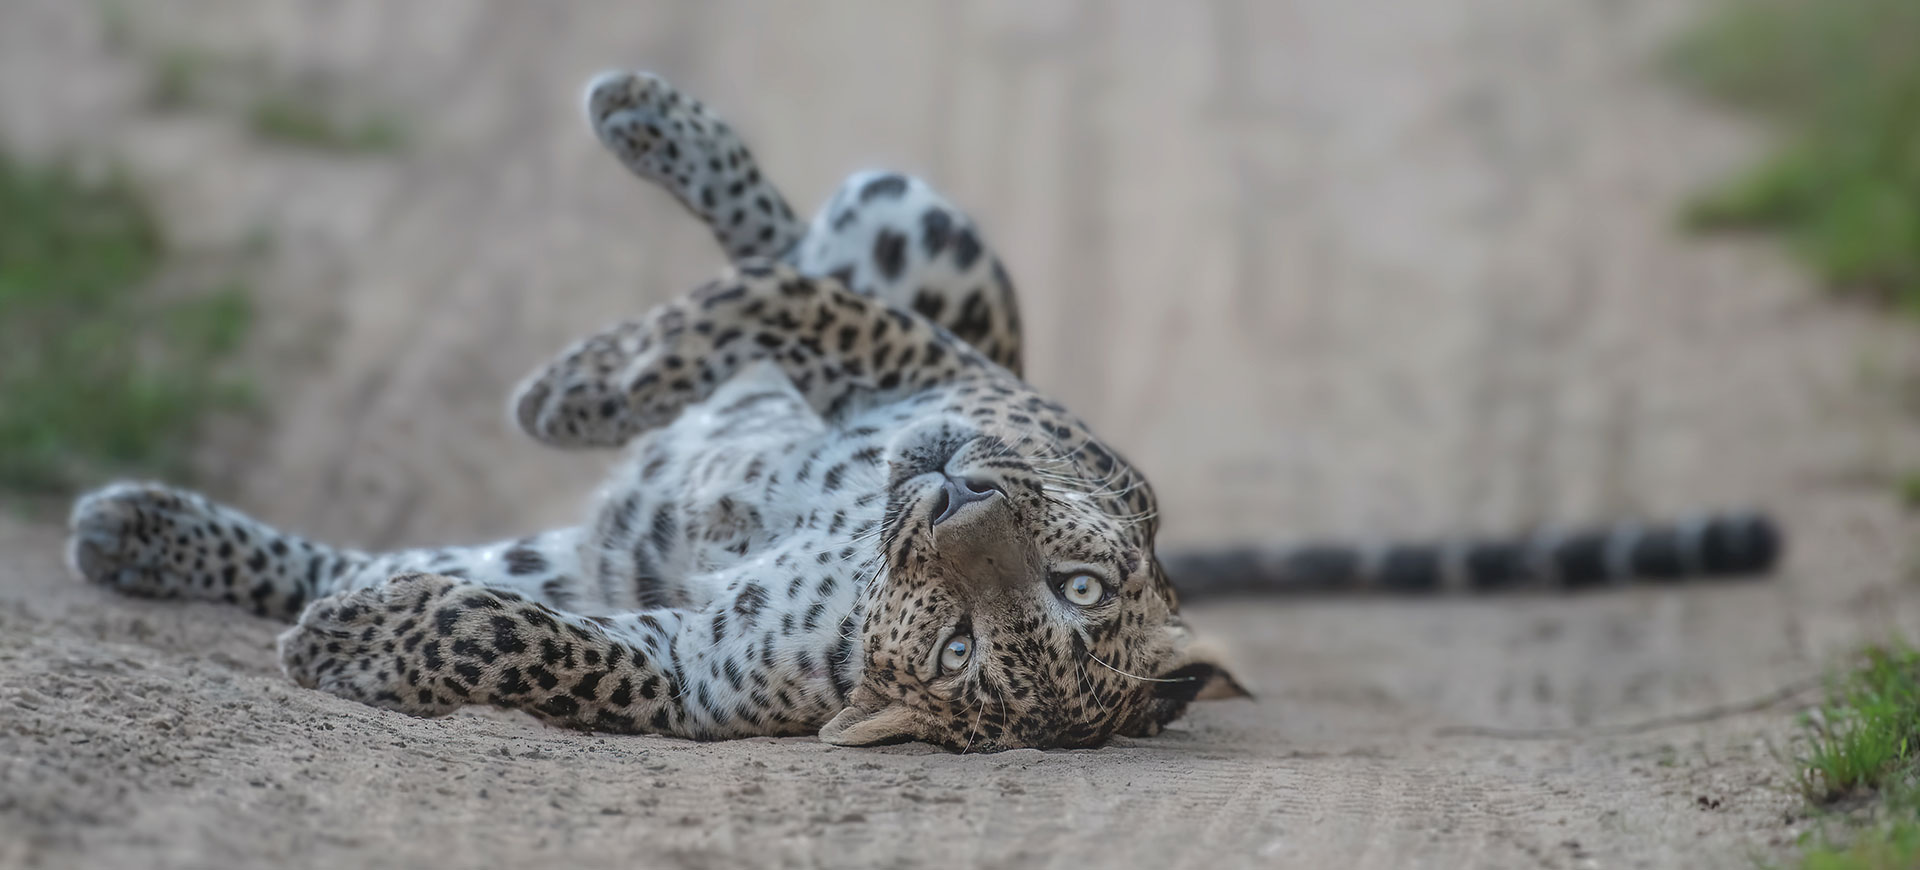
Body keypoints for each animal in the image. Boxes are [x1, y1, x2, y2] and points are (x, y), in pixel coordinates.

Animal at [71, 69, 1781, 745]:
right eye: (1077, 578)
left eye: (986, 642)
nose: (957, 493)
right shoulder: (930, 372)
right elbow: (782, 306)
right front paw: (584, 380)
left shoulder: (688, 671)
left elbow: (541, 651)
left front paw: (365, 646)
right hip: (935, 244)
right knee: (791, 247)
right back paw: (646, 129)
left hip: (588, 546)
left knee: (434, 562)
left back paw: (184, 546)